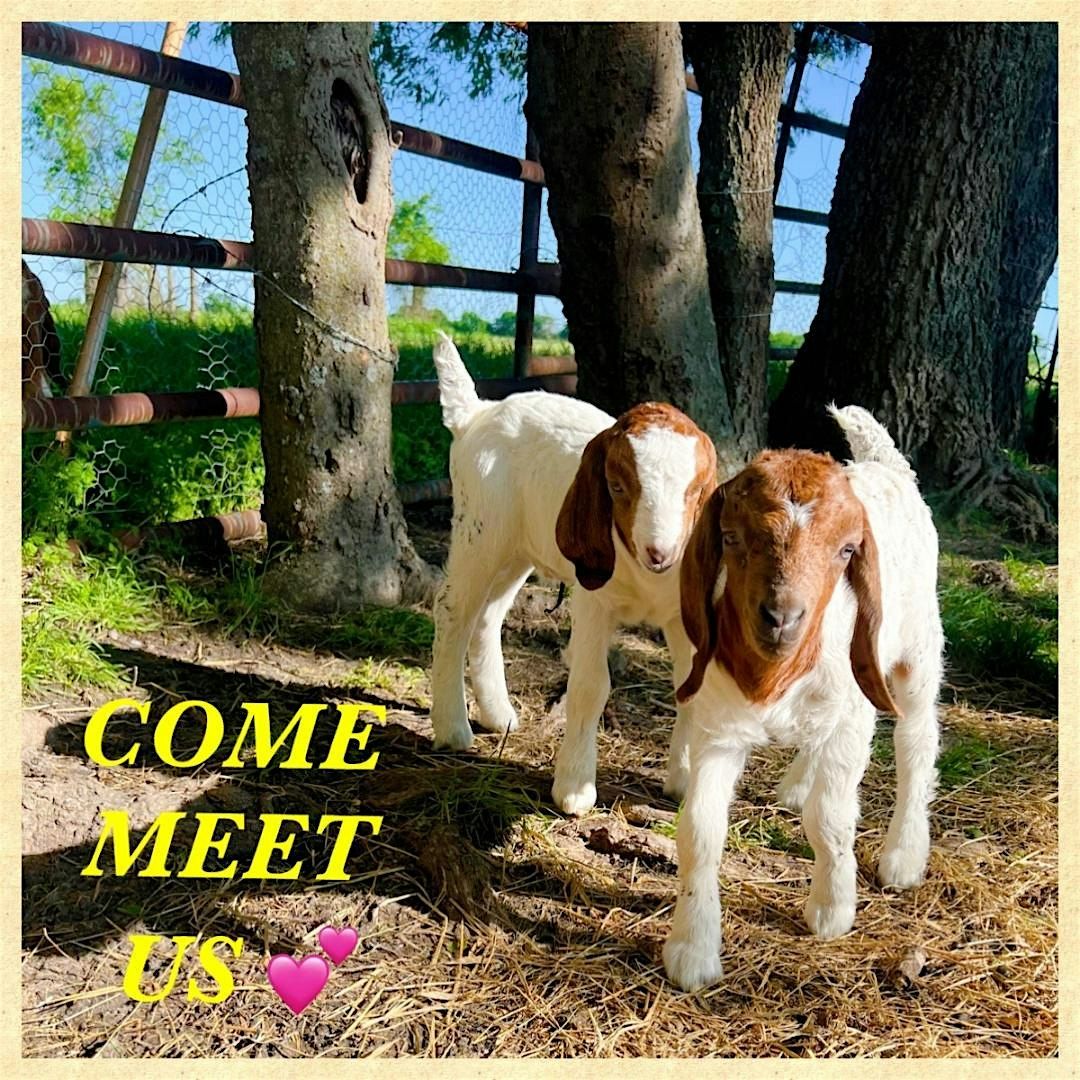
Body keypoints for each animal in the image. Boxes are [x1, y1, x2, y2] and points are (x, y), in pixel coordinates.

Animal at [429, 332, 718, 814]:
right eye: (617, 486)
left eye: (695, 491)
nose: (660, 553)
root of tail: (477, 413)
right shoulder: (593, 600)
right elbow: (589, 686)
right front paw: (575, 788)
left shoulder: (684, 614)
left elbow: (692, 690)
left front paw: (685, 785)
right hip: (480, 528)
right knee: (453, 611)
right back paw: (452, 727)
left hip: (520, 546)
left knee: (488, 615)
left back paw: (498, 714)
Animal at [663, 405, 942, 991]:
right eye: (731, 538)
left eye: (846, 551)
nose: (781, 618)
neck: (776, 677)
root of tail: (887, 465)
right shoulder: (718, 730)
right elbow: (699, 829)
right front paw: (692, 948)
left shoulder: (853, 720)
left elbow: (831, 818)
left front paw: (832, 909)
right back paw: (798, 784)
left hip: (918, 651)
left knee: (917, 744)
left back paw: (904, 855)